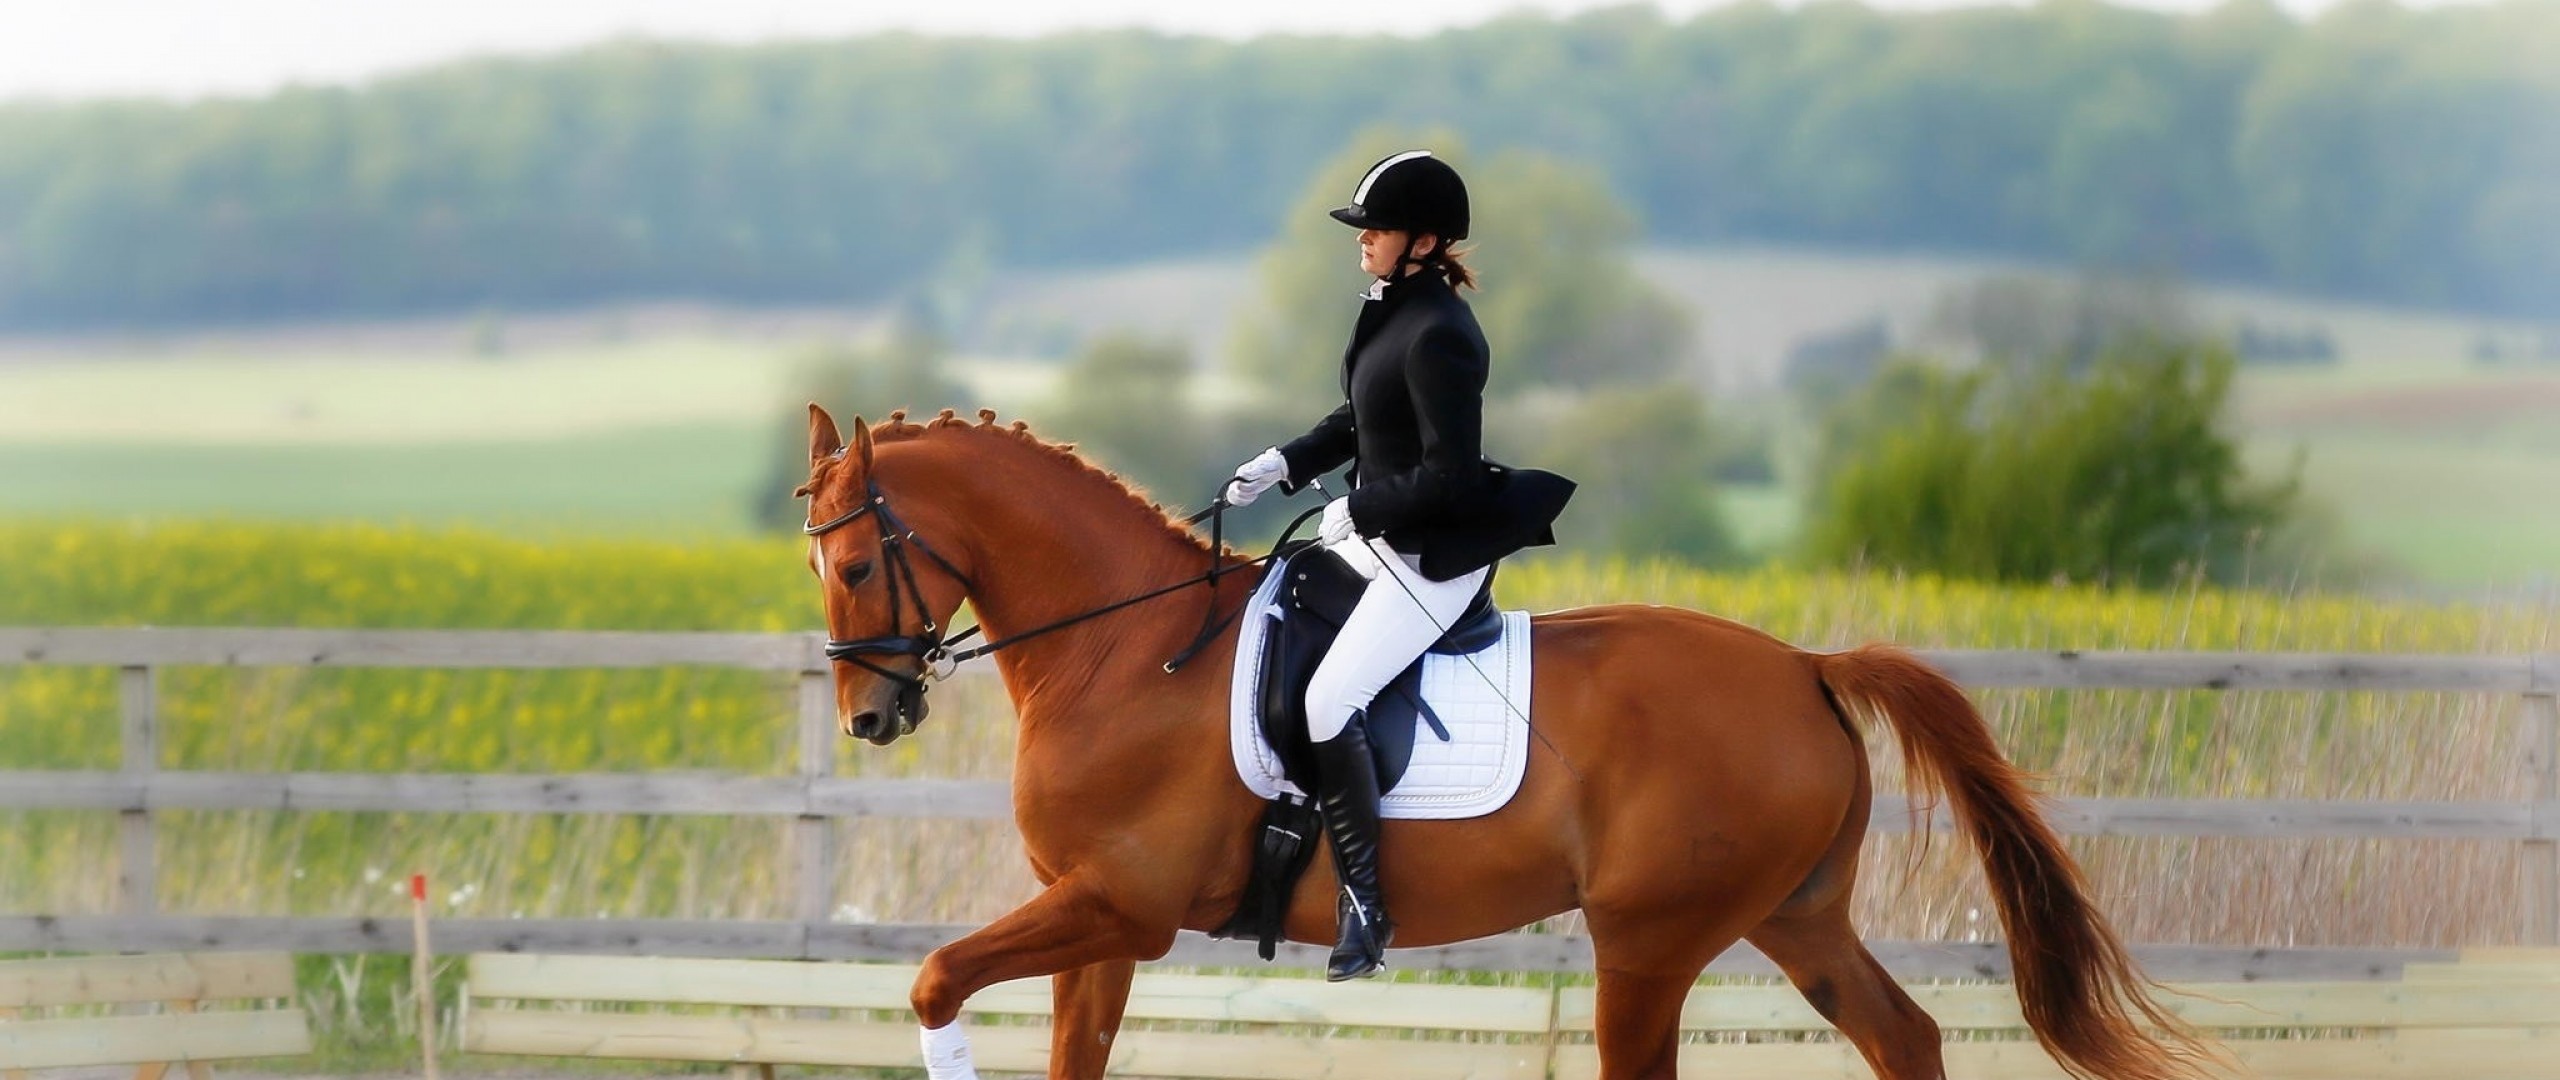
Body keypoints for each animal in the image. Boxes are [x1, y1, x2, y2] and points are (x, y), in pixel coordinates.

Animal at [793, 406, 2201, 1080]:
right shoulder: (1096, 925)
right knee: (1902, 1041)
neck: (1128, 649)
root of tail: (1804, 666)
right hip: (1796, 917)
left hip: (1648, 944)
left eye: (855, 564)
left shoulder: (1117, 908)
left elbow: (932, 983)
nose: (870, 716)